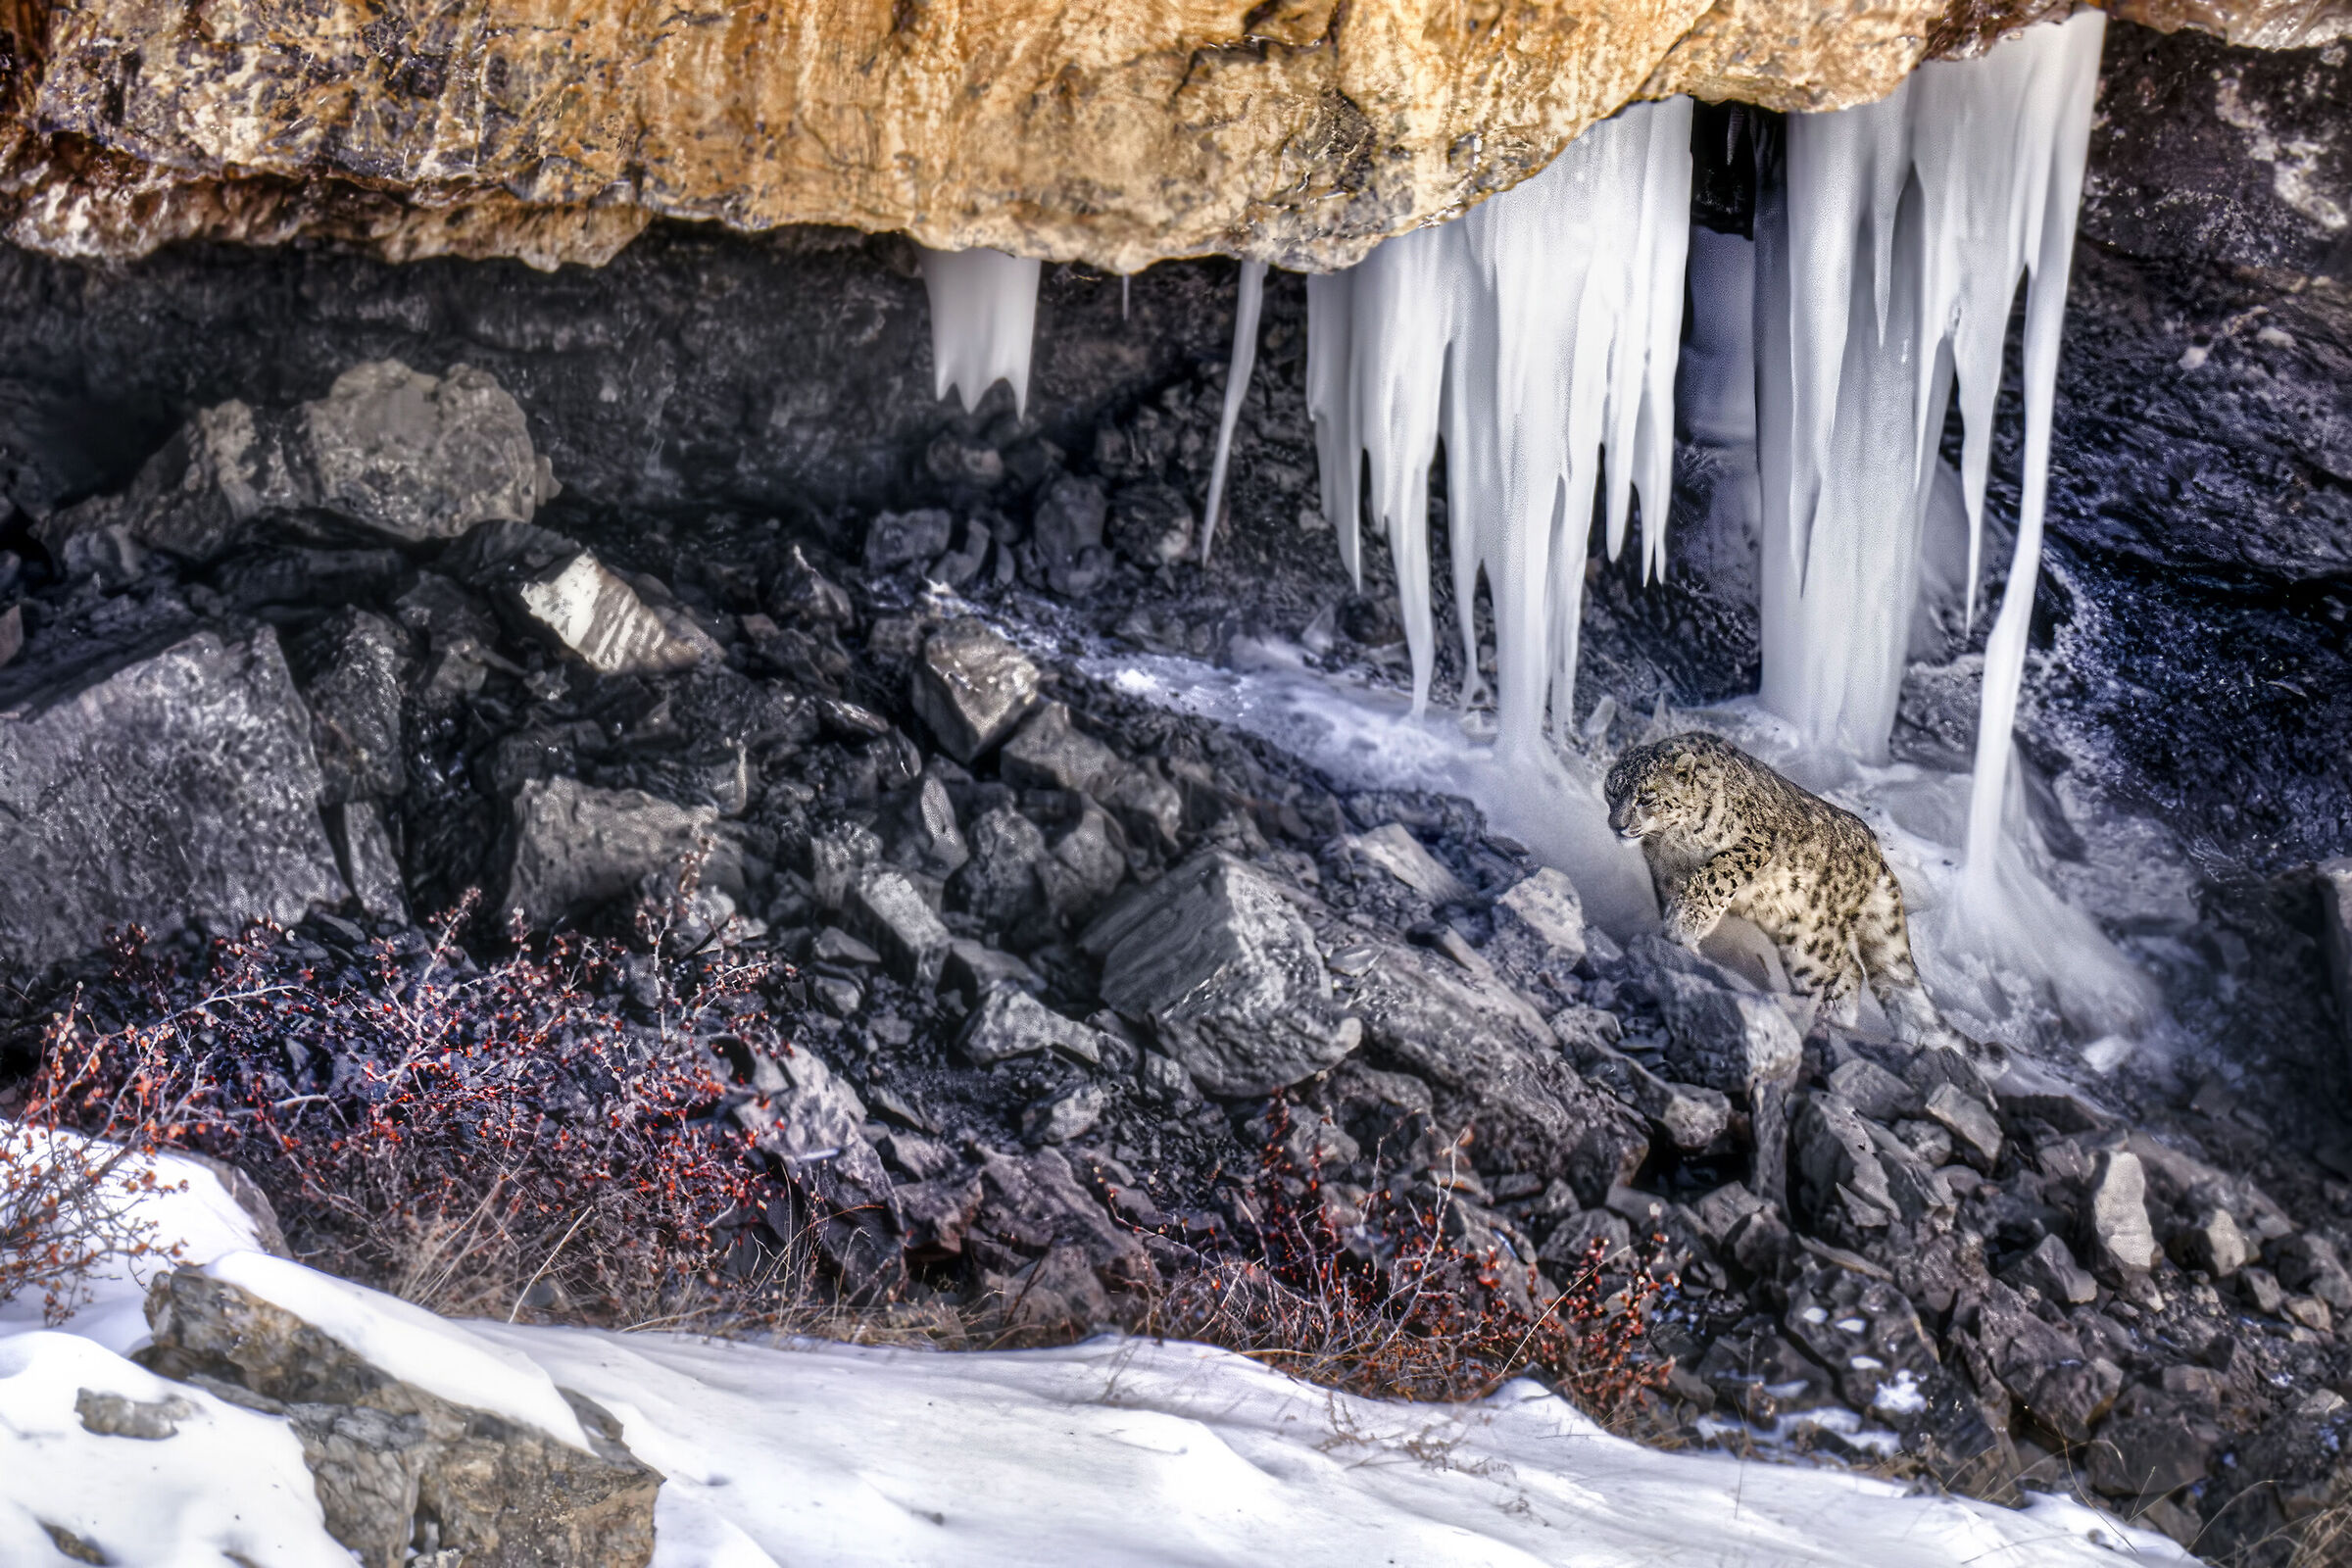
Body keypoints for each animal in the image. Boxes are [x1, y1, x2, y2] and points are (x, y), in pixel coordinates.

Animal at [1604, 730, 1955, 1047]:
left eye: (1646, 797)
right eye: (1611, 791)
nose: (1616, 825)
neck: (1670, 844)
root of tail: (1877, 854)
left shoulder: (1754, 842)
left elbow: (1714, 875)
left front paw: (1684, 925)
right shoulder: (1665, 873)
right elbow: (1678, 892)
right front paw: (1678, 930)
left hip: (1815, 937)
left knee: (1847, 968)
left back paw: (1828, 1017)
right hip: (1804, 940)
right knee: (1849, 970)